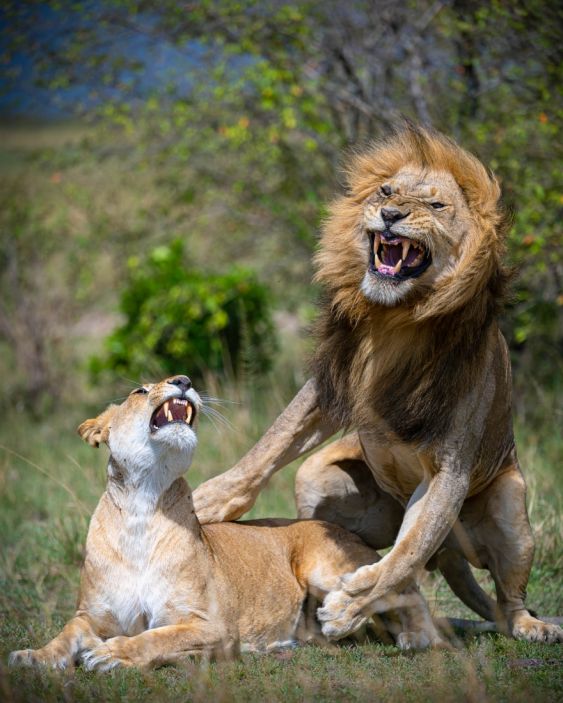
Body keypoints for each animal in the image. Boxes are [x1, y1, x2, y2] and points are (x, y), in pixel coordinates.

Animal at [9, 375, 445, 671]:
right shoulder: (92, 615)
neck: (142, 505)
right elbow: (66, 633)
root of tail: (342, 530)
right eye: (139, 391)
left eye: (179, 380)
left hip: (329, 568)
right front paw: (33, 656)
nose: (184, 381)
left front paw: (112, 653)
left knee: (400, 588)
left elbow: (155, 638)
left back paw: (418, 636)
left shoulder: (214, 626)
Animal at [192, 126, 563, 645]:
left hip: (511, 508)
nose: (390, 215)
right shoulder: (331, 387)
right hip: (317, 479)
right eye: (386, 192)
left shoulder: (450, 467)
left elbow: (405, 554)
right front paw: (208, 502)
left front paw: (348, 607)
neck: (396, 318)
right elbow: (271, 443)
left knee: (500, 596)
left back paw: (532, 627)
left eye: (436, 205)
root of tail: (452, 551)